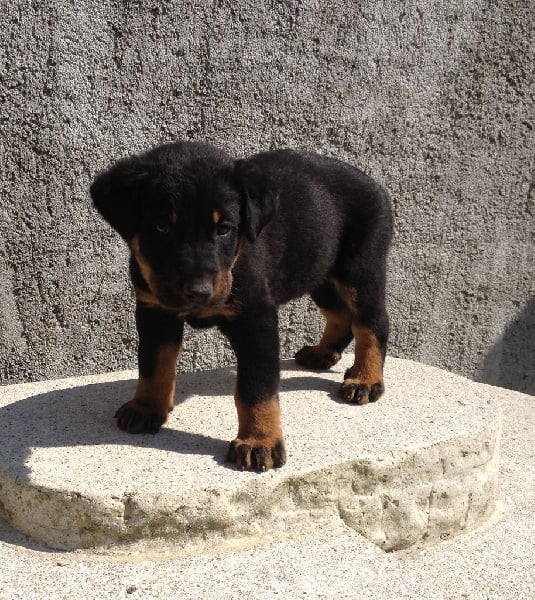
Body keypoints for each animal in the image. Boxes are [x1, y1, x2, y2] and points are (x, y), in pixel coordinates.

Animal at [90, 141, 393, 471]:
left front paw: (259, 441)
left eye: (224, 229)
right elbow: (153, 364)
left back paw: (365, 379)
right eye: (160, 227)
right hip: (318, 270)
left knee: (372, 323)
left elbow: (255, 387)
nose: (199, 292)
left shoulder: (256, 319)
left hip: (359, 270)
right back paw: (322, 353)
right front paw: (146, 408)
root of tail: (376, 184)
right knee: (340, 315)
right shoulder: (154, 311)